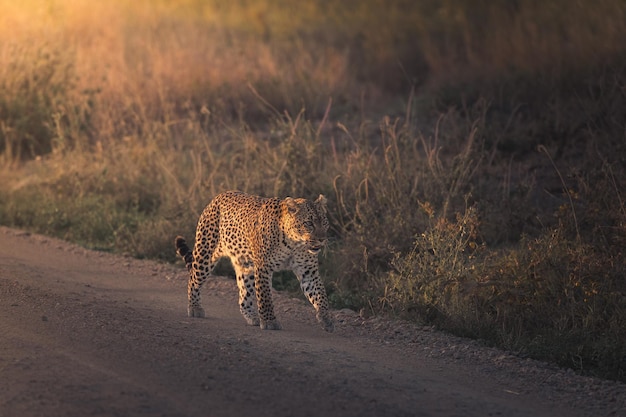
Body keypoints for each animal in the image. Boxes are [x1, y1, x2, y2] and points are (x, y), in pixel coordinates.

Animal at [173, 191, 334, 332]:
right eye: (309, 223)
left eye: (325, 223)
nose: (322, 239)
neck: (294, 243)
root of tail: (217, 197)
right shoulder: (264, 267)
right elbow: (265, 295)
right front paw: (269, 322)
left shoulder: (308, 271)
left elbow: (320, 295)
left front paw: (326, 319)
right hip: (205, 253)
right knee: (193, 280)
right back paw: (195, 308)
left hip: (245, 265)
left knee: (244, 296)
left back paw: (253, 317)